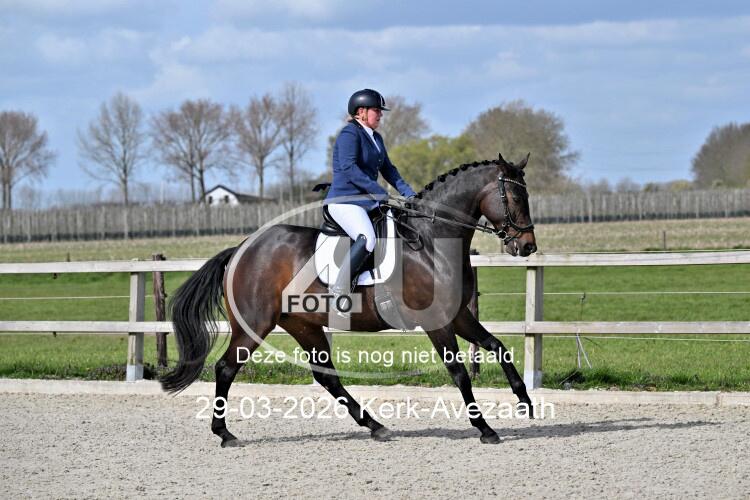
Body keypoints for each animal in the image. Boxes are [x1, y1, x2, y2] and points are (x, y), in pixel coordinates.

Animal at [161, 153, 538, 446]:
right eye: (515, 199)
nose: (527, 246)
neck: (432, 241)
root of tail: (241, 249)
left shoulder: (457, 315)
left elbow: (498, 346)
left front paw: (525, 401)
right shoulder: (437, 323)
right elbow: (459, 373)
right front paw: (485, 428)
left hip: (303, 325)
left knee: (327, 377)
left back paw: (375, 425)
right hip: (254, 324)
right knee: (226, 368)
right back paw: (225, 434)